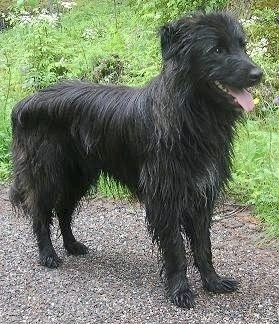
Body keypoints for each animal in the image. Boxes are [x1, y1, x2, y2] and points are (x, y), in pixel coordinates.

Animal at [9, 12, 262, 308]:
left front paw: (213, 282)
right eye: (217, 50)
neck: (190, 115)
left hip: (79, 176)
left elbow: (203, 245)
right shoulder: (165, 198)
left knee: (63, 210)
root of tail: (24, 103)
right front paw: (180, 290)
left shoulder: (202, 195)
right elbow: (176, 248)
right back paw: (48, 255)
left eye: (242, 46)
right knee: (40, 213)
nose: (258, 74)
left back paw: (72, 245)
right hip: (48, 172)